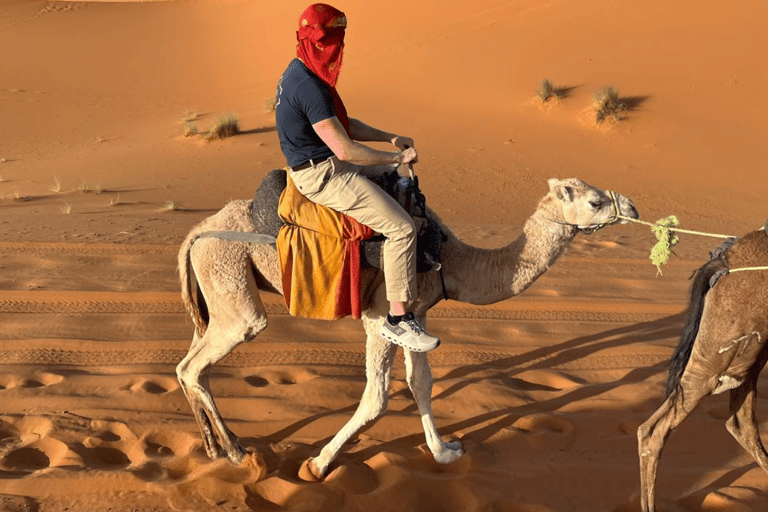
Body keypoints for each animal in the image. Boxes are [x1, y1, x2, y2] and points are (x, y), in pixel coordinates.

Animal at [175, 171, 638, 479]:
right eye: (595, 202)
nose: (632, 207)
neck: (449, 257)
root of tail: (194, 233)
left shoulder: (420, 314)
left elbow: (421, 383)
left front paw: (446, 451)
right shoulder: (380, 319)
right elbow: (377, 398)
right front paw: (318, 464)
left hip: (213, 291)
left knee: (187, 365)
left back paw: (215, 448)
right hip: (230, 278)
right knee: (208, 358)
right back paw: (238, 454)